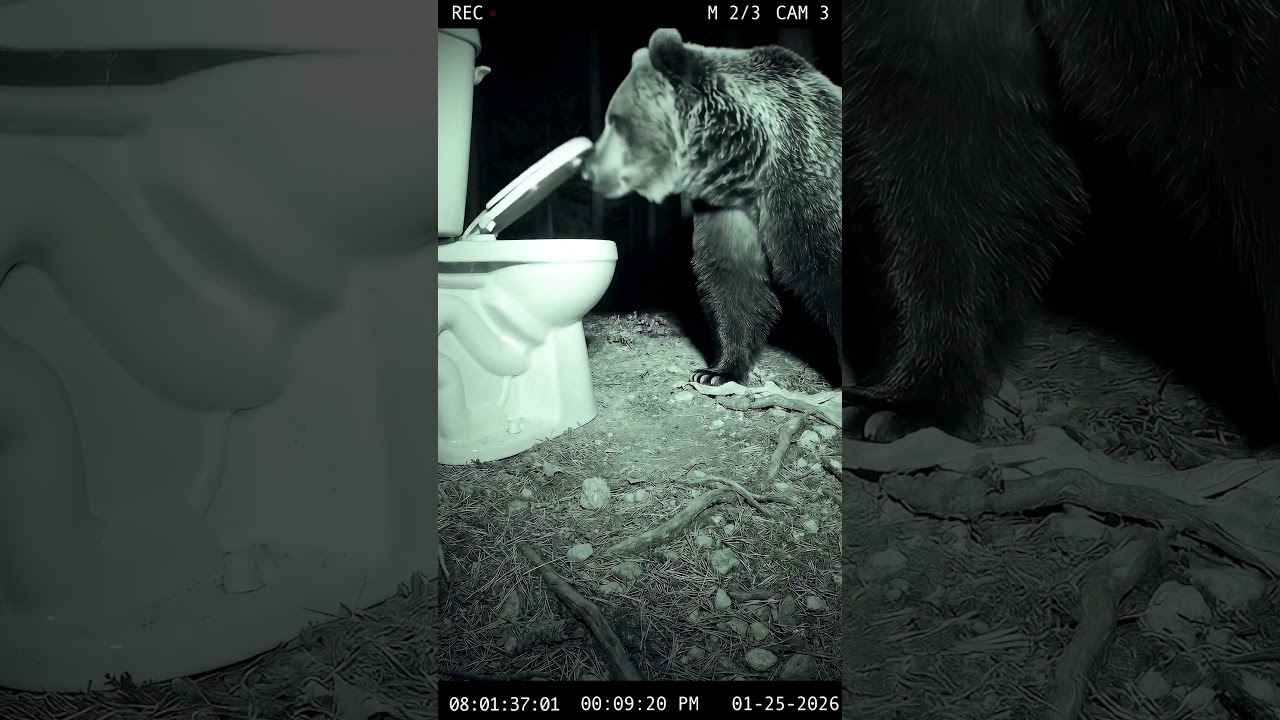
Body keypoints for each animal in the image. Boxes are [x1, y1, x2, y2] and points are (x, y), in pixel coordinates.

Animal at [580, 28, 843, 389]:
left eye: (617, 122)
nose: (588, 170)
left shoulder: (806, 190)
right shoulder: (728, 213)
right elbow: (731, 278)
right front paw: (717, 371)